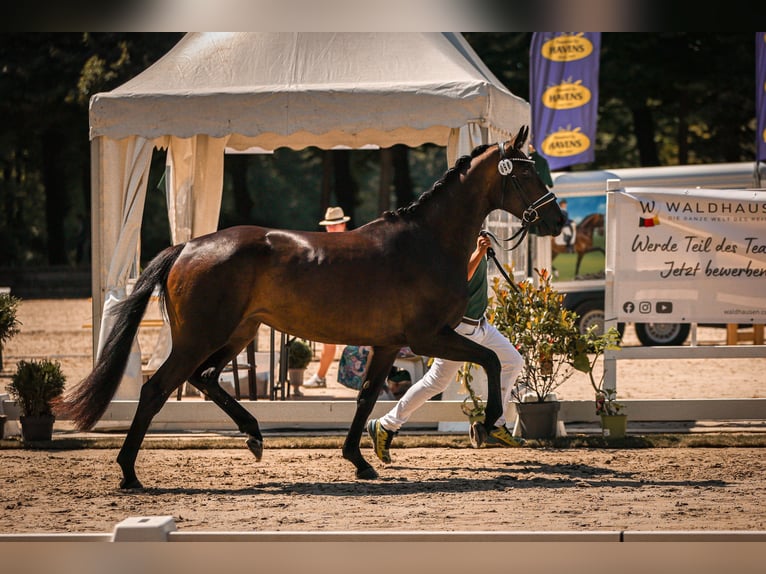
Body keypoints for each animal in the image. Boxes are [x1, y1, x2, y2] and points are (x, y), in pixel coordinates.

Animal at [61, 124, 564, 488]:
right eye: (525, 173)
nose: (558, 219)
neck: (427, 241)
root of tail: (186, 247)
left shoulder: (388, 345)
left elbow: (366, 398)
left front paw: (359, 459)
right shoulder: (429, 337)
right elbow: (490, 361)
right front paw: (492, 421)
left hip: (237, 334)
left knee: (205, 379)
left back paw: (254, 435)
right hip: (198, 338)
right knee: (156, 390)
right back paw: (129, 473)